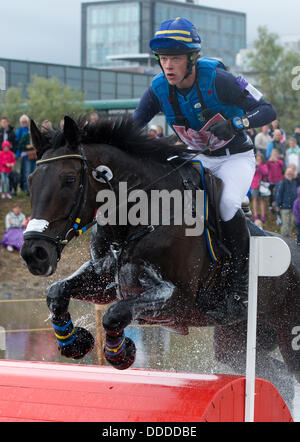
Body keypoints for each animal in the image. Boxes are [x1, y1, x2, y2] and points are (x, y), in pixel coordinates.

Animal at [22, 115, 300, 408]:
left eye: (69, 179)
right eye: (30, 179)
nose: (34, 253)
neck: (140, 217)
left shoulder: (178, 301)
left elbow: (115, 313)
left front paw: (120, 353)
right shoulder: (104, 281)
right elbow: (58, 291)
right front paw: (73, 342)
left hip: (288, 336)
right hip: (236, 341)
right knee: (275, 375)